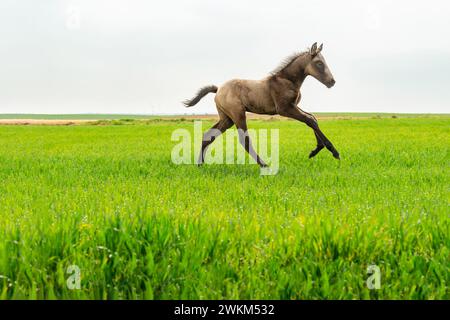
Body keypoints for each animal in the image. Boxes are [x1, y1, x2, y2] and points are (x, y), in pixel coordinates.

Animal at [185, 42, 340, 168]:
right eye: (319, 63)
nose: (332, 82)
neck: (286, 80)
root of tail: (218, 89)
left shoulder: (293, 106)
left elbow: (312, 118)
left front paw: (315, 150)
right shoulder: (284, 109)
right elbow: (309, 120)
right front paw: (333, 151)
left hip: (227, 118)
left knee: (208, 135)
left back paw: (200, 164)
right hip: (238, 114)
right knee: (244, 140)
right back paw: (264, 164)